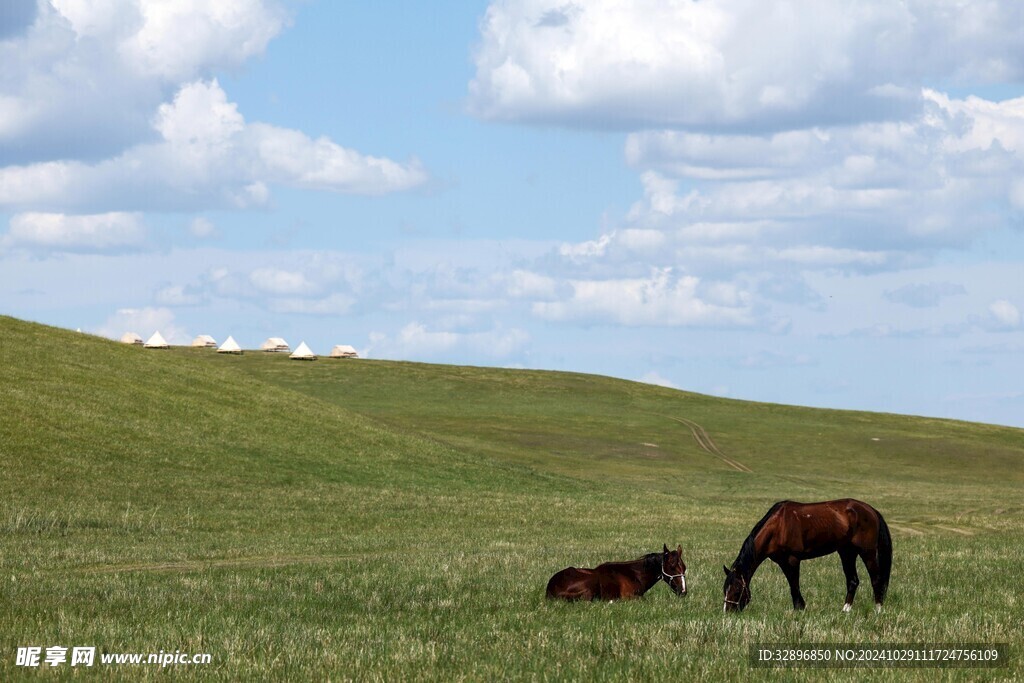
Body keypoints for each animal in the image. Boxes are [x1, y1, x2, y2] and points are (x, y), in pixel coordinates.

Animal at [724, 499, 892, 618]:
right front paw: (800, 608)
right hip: (847, 552)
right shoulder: (782, 562)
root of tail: (871, 510)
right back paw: (845, 610)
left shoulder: (792, 559)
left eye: (737, 590)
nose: (728, 612)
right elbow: (793, 586)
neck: (778, 525)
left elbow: (794, 585)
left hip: (867, 552)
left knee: (876, 579)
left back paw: (878, 610)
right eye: (724, 589)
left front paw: (799, 609)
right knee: (853, 580)